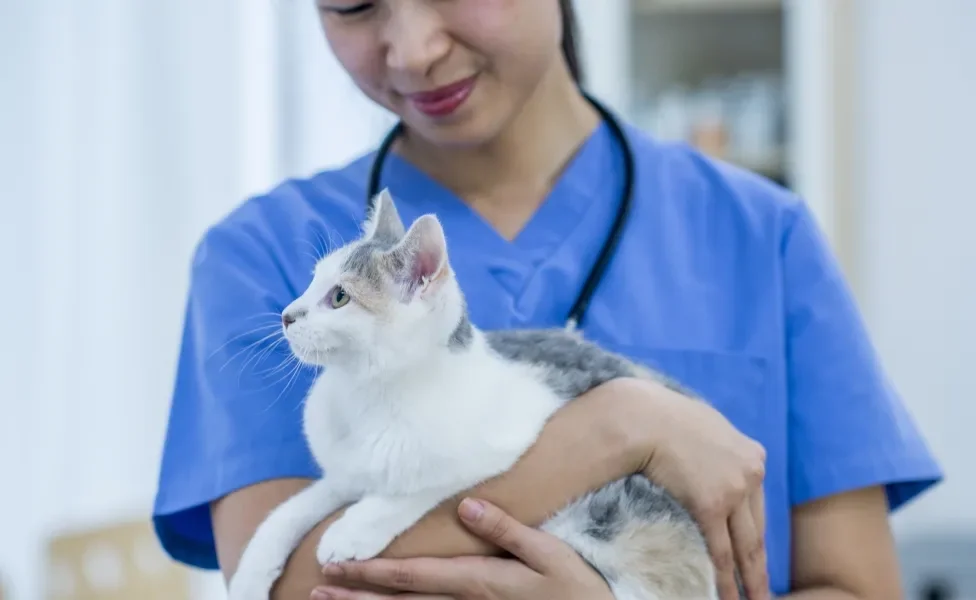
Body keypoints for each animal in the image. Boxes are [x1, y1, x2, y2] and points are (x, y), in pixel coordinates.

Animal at [227, 190, 716, 600]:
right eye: (311, 282)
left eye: (340, 296)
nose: (287, 314)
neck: (369, 391)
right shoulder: (345, 475)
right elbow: (289, 512)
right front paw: (252, 574)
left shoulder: (512, 435)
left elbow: (423, 484)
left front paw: (353, 530)